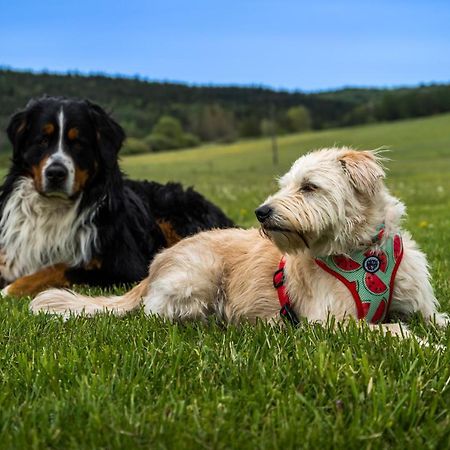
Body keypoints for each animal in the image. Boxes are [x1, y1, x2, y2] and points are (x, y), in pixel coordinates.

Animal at [0, 96, 232, 298]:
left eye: (78, 142)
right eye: (42, 140)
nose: (56, 173)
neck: (54, 209)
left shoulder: (123, 267)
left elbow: (59, 268)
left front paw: (11, 289)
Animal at [30, 147, 446, 334]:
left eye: (309, 187)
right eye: (285, 185)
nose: (261, 212)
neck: (362, 253)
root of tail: (153, 268)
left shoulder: (423, 308)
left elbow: (434, 320)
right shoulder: (331, 322)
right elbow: (396, 331)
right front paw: (427, 345)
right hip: (199, 276)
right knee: (159, 313)